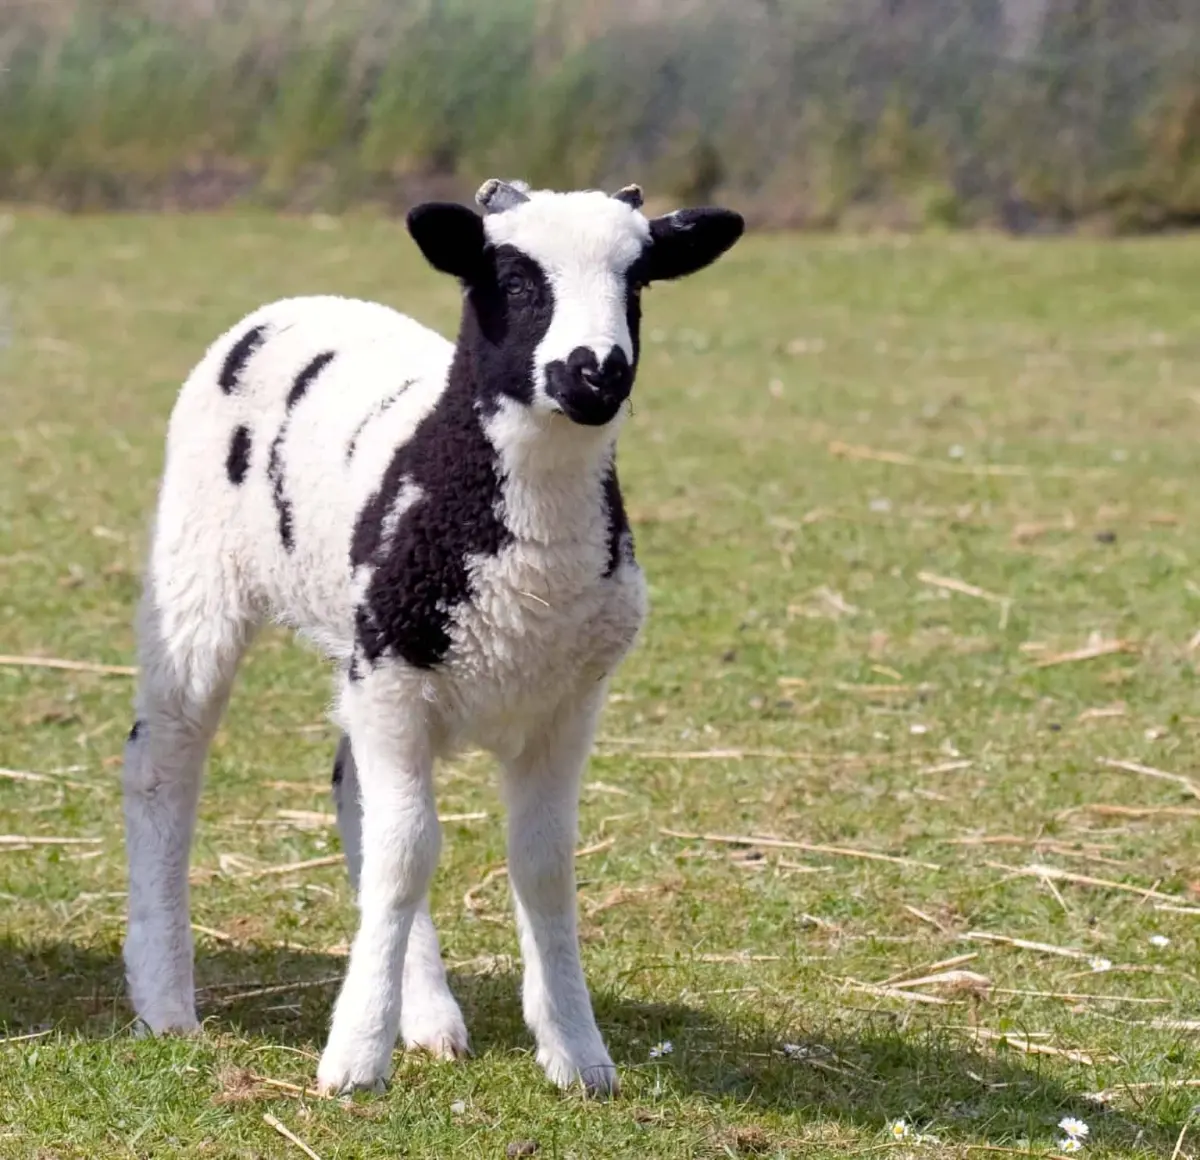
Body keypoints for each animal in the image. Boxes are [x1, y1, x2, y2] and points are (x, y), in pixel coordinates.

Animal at [122, 179, 744, 1097]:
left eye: (638, 282)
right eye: (515, 282)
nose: (597, 372)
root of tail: (296, 304)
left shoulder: (565, 703)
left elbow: (542, 864)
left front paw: (576, 1052)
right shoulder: (394, 678)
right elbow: (408, 854)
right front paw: (353, 1059)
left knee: (357, 794)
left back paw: (425, 1014)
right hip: (199, 573)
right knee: (166, 762)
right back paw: (166, 999)